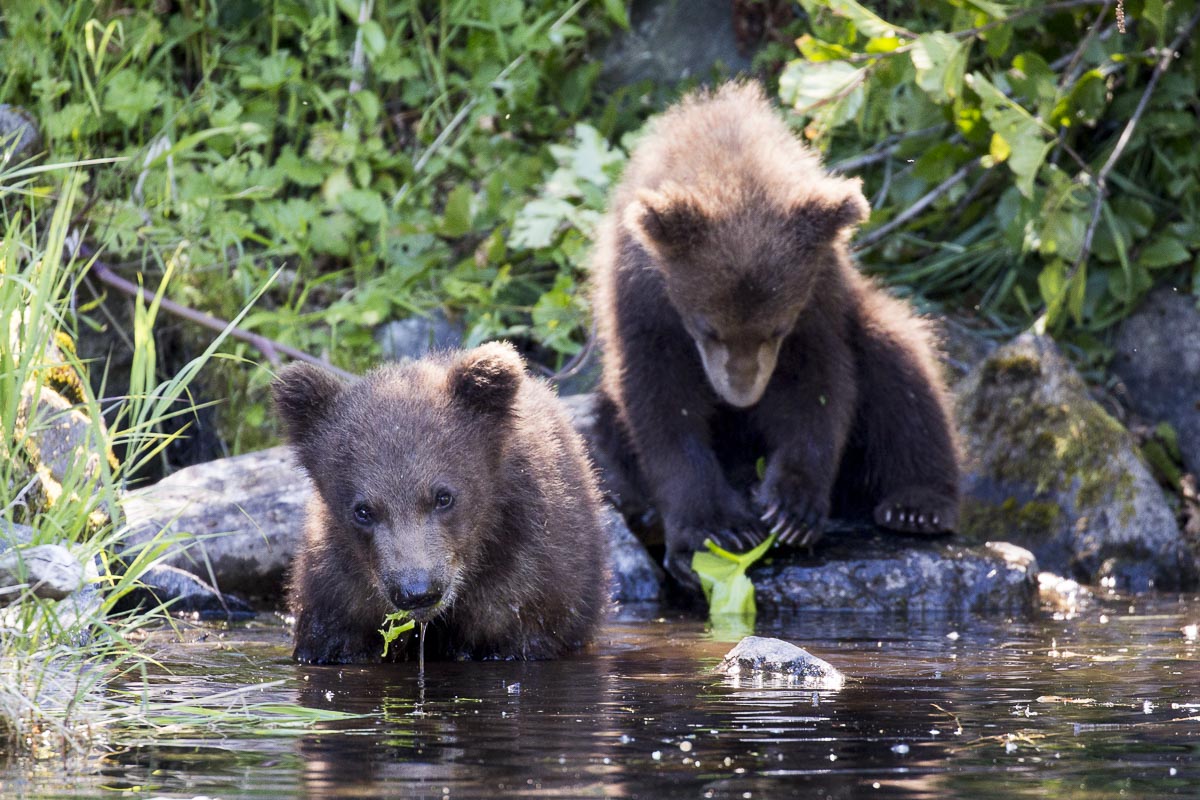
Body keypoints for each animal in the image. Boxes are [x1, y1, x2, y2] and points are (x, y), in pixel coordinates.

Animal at [589, 81, 961, 586]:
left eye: (776, 329)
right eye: (709, 328)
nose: (741, 394)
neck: (733, 164)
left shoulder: (819, 299)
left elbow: (818, 387)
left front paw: (791, 508)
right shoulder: (643, 305)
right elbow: (661, 406)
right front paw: (715, 531)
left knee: (899, 368)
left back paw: (917, 505)